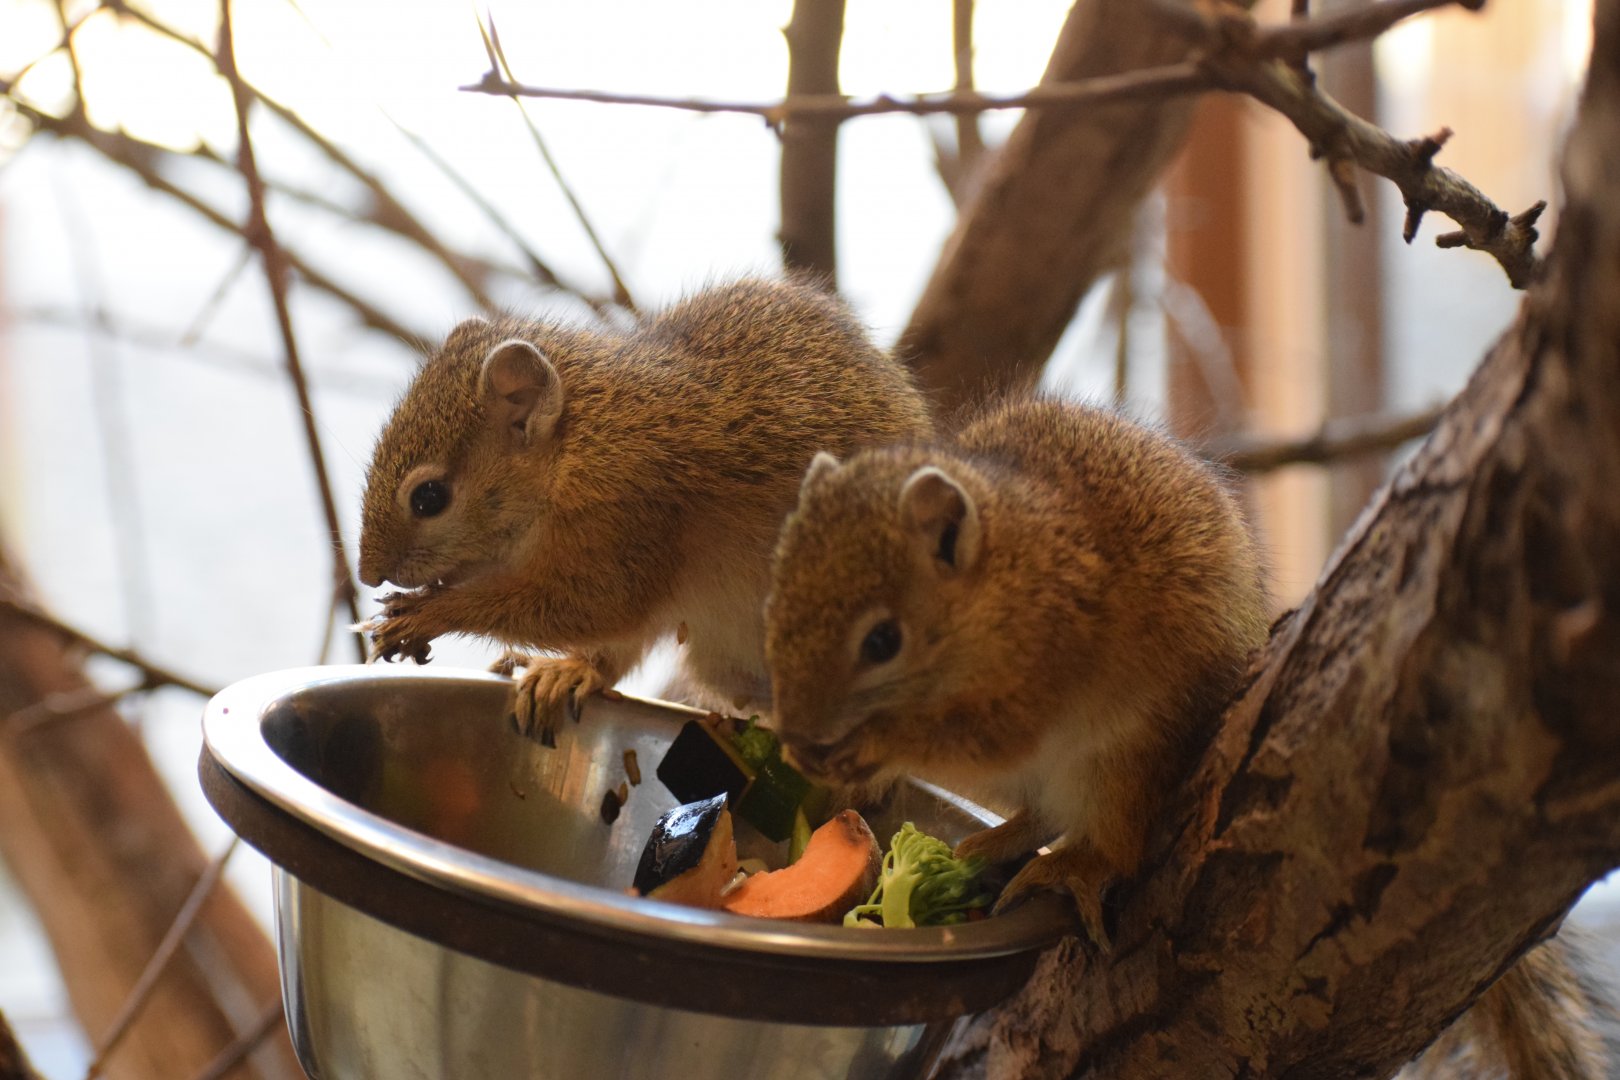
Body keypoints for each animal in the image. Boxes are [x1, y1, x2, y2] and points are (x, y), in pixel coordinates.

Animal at [357, 278, 932, 741]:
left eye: (430, 497)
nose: (367, 573)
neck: (579, 444)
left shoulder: (626, 521)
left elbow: (586, 606)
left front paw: (430, 612)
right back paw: (566, 673)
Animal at [762, 397, 1270, 945]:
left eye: (883, 641)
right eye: (773, 602)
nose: (797, 733)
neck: (1005, 575)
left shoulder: (1038, 676)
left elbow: (975, 742)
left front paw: (871, 746)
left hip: (1122, 765)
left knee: (1114, 848)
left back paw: (1062, 868)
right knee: (1044, 815)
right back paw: (985, 845)